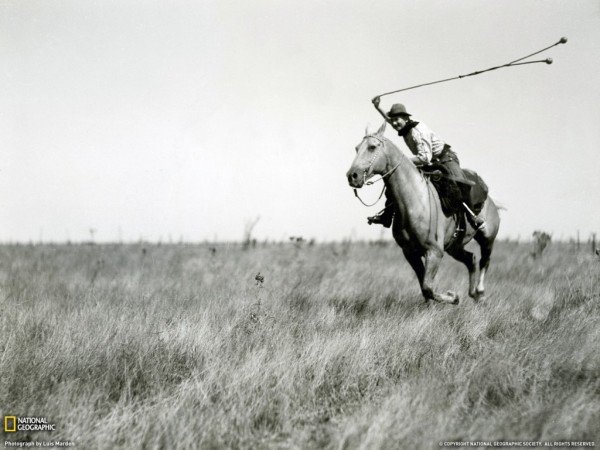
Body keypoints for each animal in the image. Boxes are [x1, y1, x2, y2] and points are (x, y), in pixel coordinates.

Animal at [344, 122, 500, 306]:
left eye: (372, 147)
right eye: (356, 148)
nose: (352, 176)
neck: (416, 200)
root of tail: (489, 199)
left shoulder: (434, 252)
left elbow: (427, 287)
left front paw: (453, 297)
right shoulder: (410, 253)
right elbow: (425, 288)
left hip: (487, 238)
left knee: (485, 260)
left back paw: (480, 292)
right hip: (454, 247)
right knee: (471, 259)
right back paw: (473, 294)